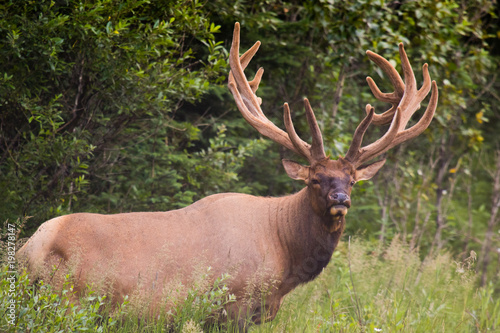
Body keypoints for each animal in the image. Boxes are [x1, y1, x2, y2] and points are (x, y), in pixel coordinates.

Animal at [16, 22, 438, 330]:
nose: (340, 200)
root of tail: (28, 251)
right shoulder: (231, 305)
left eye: (351, 180)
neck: (285, 255)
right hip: (71, 302)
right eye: (314, 179)